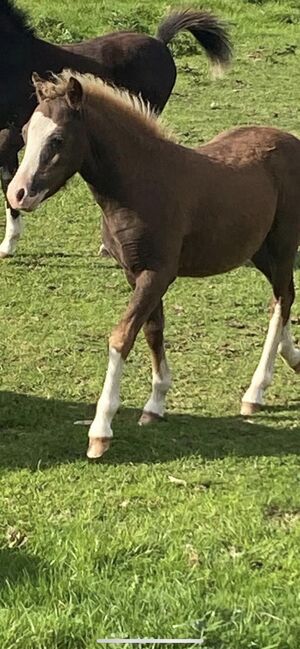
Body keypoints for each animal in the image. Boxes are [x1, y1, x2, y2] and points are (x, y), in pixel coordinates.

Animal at [7, 73, 300, 458]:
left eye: (57, 139)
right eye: (26, 133)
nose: (17, 194)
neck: (139, 186)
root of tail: (292, 141)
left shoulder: (158, 273)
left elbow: (122, 336)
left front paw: (101, 431)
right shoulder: (135, 273)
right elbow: (152, 330)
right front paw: (155, 404)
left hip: (282, 247)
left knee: (282, 300)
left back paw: (255, 391)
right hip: (257, 252)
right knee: (284, 297)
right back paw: (292, 357)